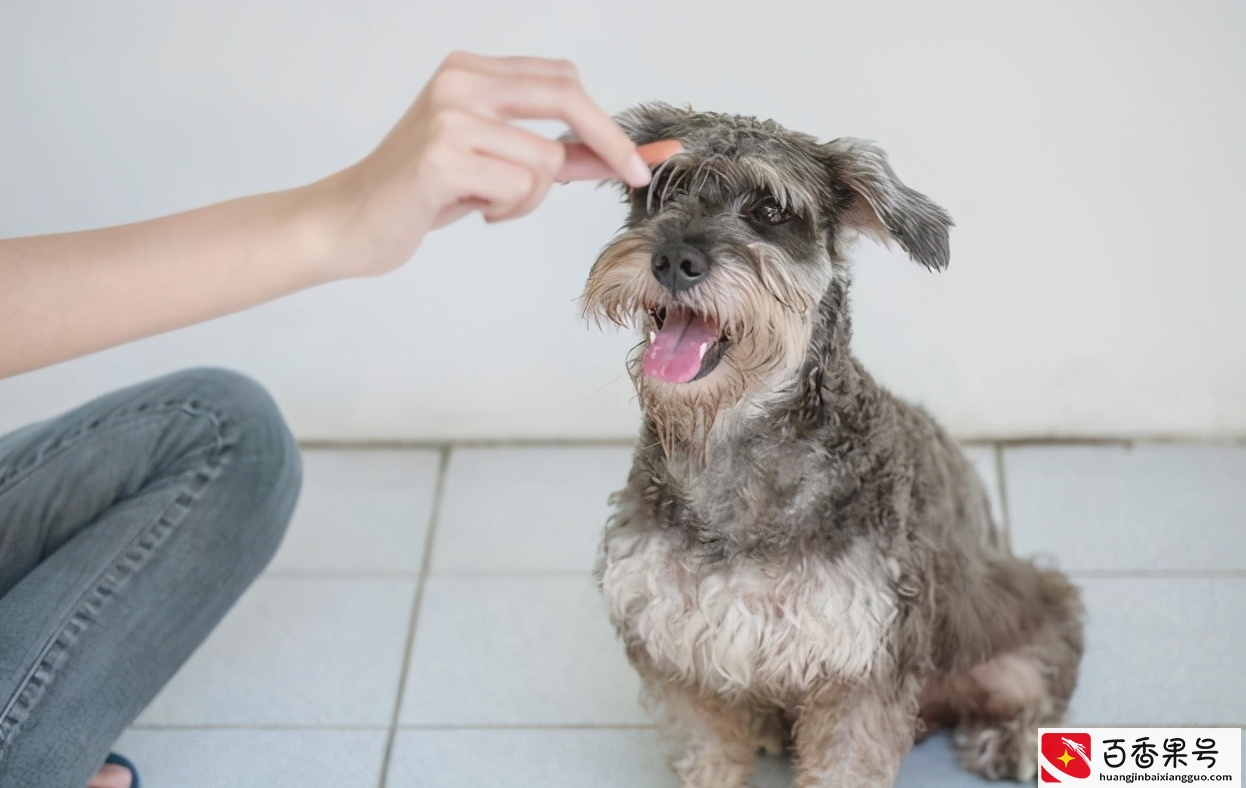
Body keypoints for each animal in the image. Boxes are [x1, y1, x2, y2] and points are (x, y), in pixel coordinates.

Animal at [580, 104, 1081, 788]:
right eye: (663, 191)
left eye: (770, 210)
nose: (674, 260)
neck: (733, 444)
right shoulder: (674, 639)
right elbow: (708, 747)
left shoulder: (860, 662)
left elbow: (845, 761)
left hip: (1016, 615)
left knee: (1041, 675)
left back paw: (1020, 740)